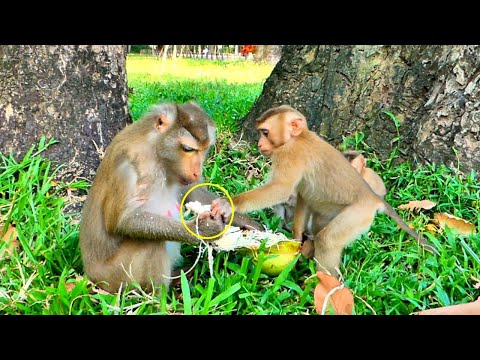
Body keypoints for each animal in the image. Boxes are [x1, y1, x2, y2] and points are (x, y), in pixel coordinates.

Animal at [80, 101, 262, 292]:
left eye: (204, 150)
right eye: (188, 149)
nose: (197, 172)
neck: (157, 152)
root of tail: (91, 275)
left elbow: (194, 192)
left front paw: (245, 222)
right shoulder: (128, 166)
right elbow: (124, 220)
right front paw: (201, 230)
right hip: (114, 277)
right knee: (150, 242)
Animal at [210, 105, 436, 278]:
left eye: (265, 133)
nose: (259, 143)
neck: (299, 137)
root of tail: (374, 198)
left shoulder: (289, 153)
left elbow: (281, 189)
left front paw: (228, 203)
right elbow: (302, 195)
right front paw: (297, 237)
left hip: (358, 214)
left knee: (327, 240)